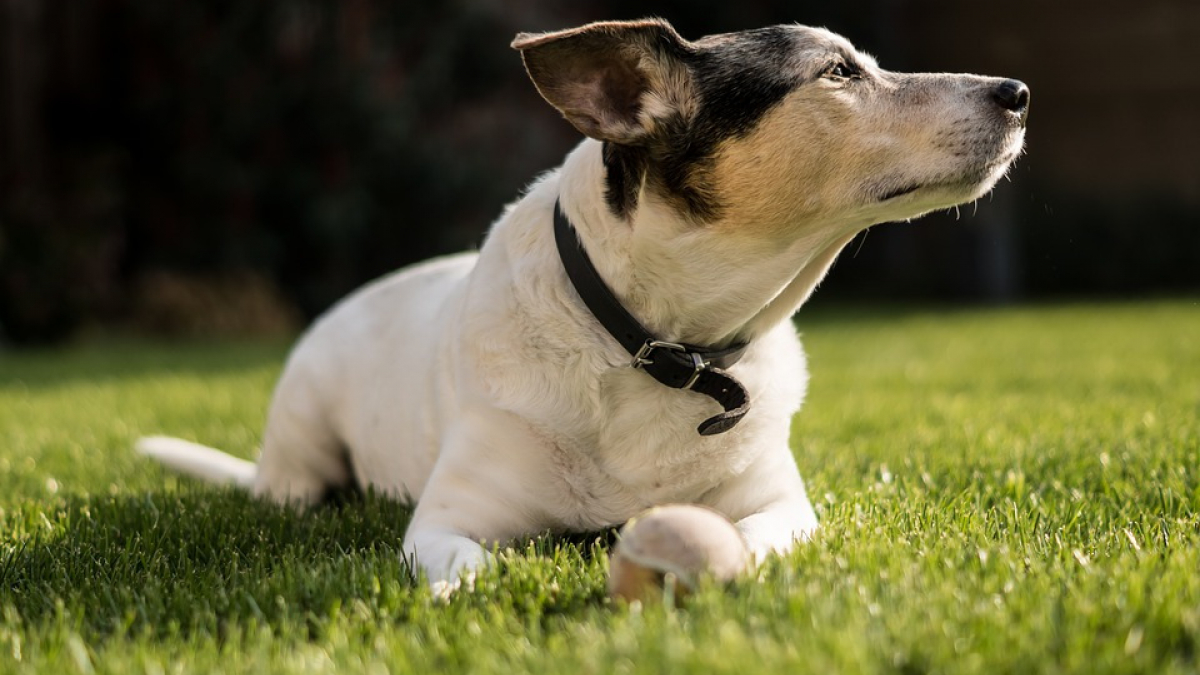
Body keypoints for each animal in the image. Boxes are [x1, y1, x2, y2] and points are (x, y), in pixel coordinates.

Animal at [138, 18, 1022, 590]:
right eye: (839, 73)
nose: (1017, 90)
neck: (660, 348)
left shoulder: (782, 506)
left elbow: (749, 535)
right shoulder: (444, 520)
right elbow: (464, 566)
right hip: (301, 448)